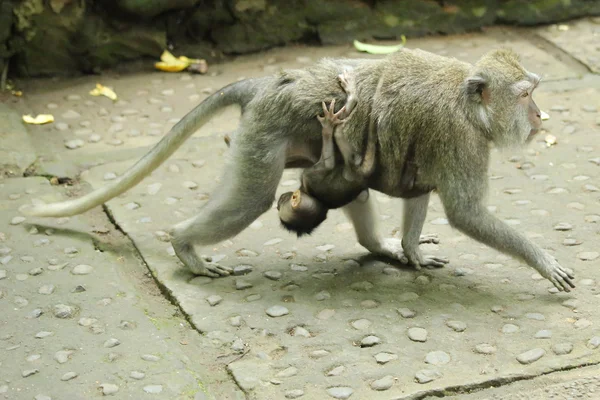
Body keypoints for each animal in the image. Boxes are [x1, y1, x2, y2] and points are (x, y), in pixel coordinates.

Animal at [278, 70, 376, 236]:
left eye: (281, 202)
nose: (278, 200)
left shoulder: (308, 176)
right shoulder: (310, 175)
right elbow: (329, 164)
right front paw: (328, 126)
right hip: (352, 164)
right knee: (339, 132)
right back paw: (349, 99)